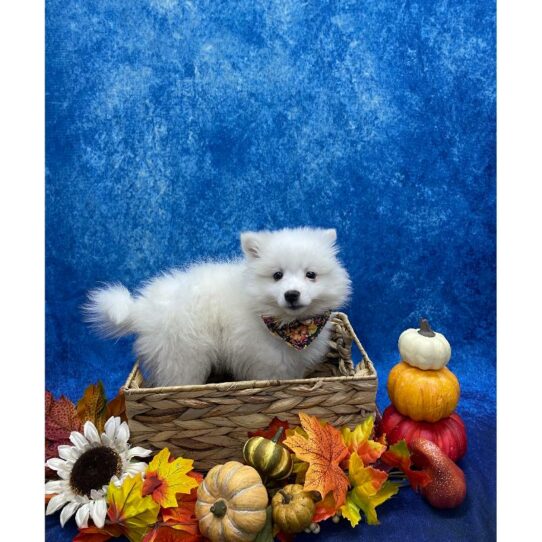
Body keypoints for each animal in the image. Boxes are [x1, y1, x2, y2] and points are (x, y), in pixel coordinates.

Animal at [85, 227, 352, 388]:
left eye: (311, 275)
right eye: (277, 275)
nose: (292, 294)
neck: (291, 327)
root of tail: (142, 309)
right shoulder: (265, 359)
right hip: (183, 355)